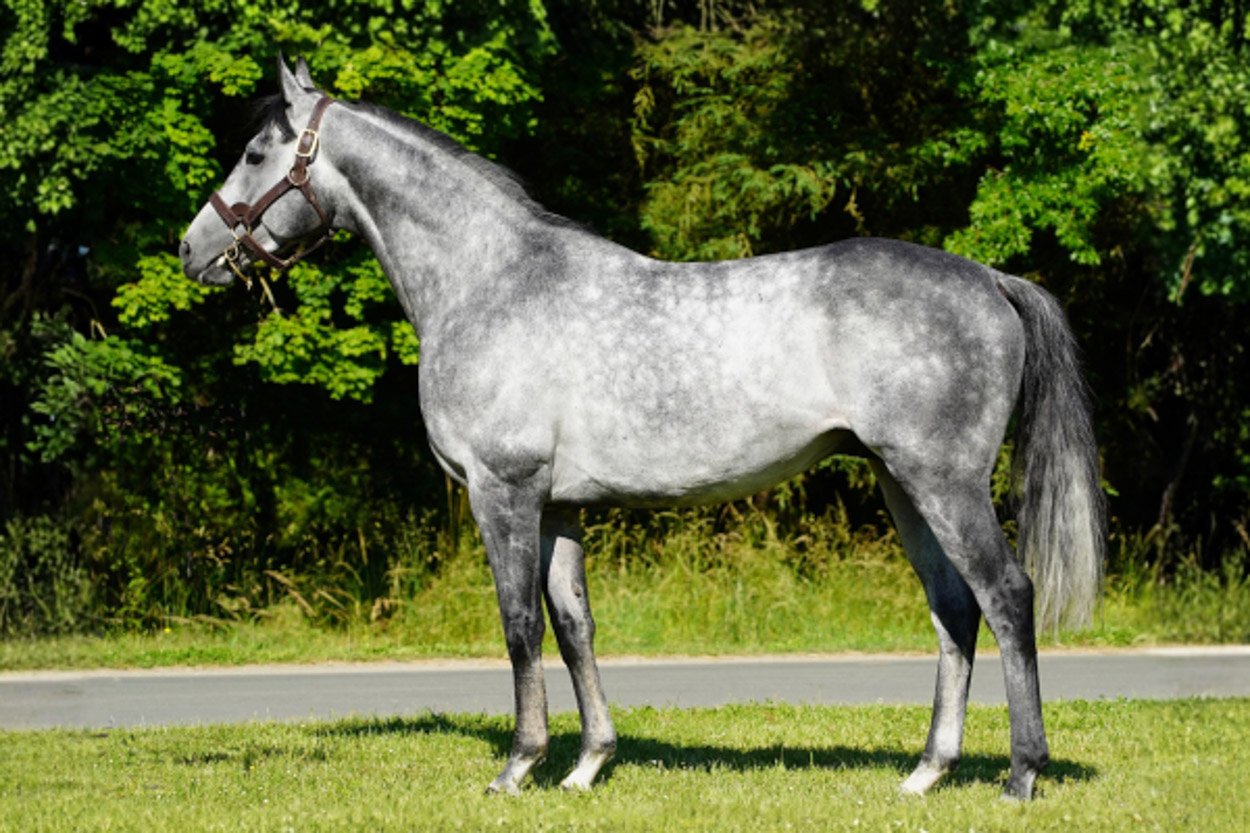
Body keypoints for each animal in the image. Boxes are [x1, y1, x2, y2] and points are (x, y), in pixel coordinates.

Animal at [180, 58, 1104, 800]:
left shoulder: (503, 493)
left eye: (256, 153)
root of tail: (987, 277)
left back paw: (1021, 774)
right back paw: (925, 772)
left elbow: (518, 624)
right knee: (954, 609)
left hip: (942, 481)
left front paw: (518, 766)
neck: (492, 280)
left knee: (1006, 596)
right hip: (901, 484)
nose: (193, 249)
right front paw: (588, 764)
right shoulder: (558, 506)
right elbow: (573, 625)